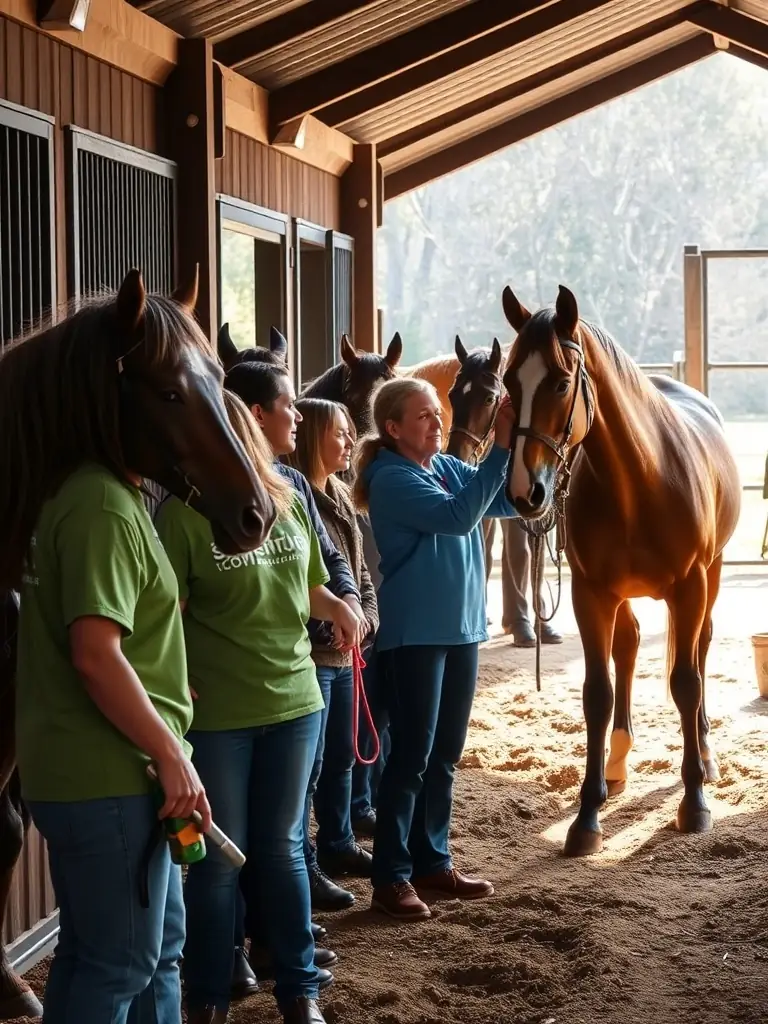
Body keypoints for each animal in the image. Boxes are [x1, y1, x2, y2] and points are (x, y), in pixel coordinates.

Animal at [500, 283, 741, 857]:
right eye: (509, 382)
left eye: (561, 381)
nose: (524, 492)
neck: (642, 478)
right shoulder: (592, 594)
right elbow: (597, 694)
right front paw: (587, 814)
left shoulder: (689, 587)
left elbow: (685, 683)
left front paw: (694, 802)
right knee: (629, 646)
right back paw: (617, 761)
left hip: (713, 575)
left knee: (698, 650)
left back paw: (705, 755)